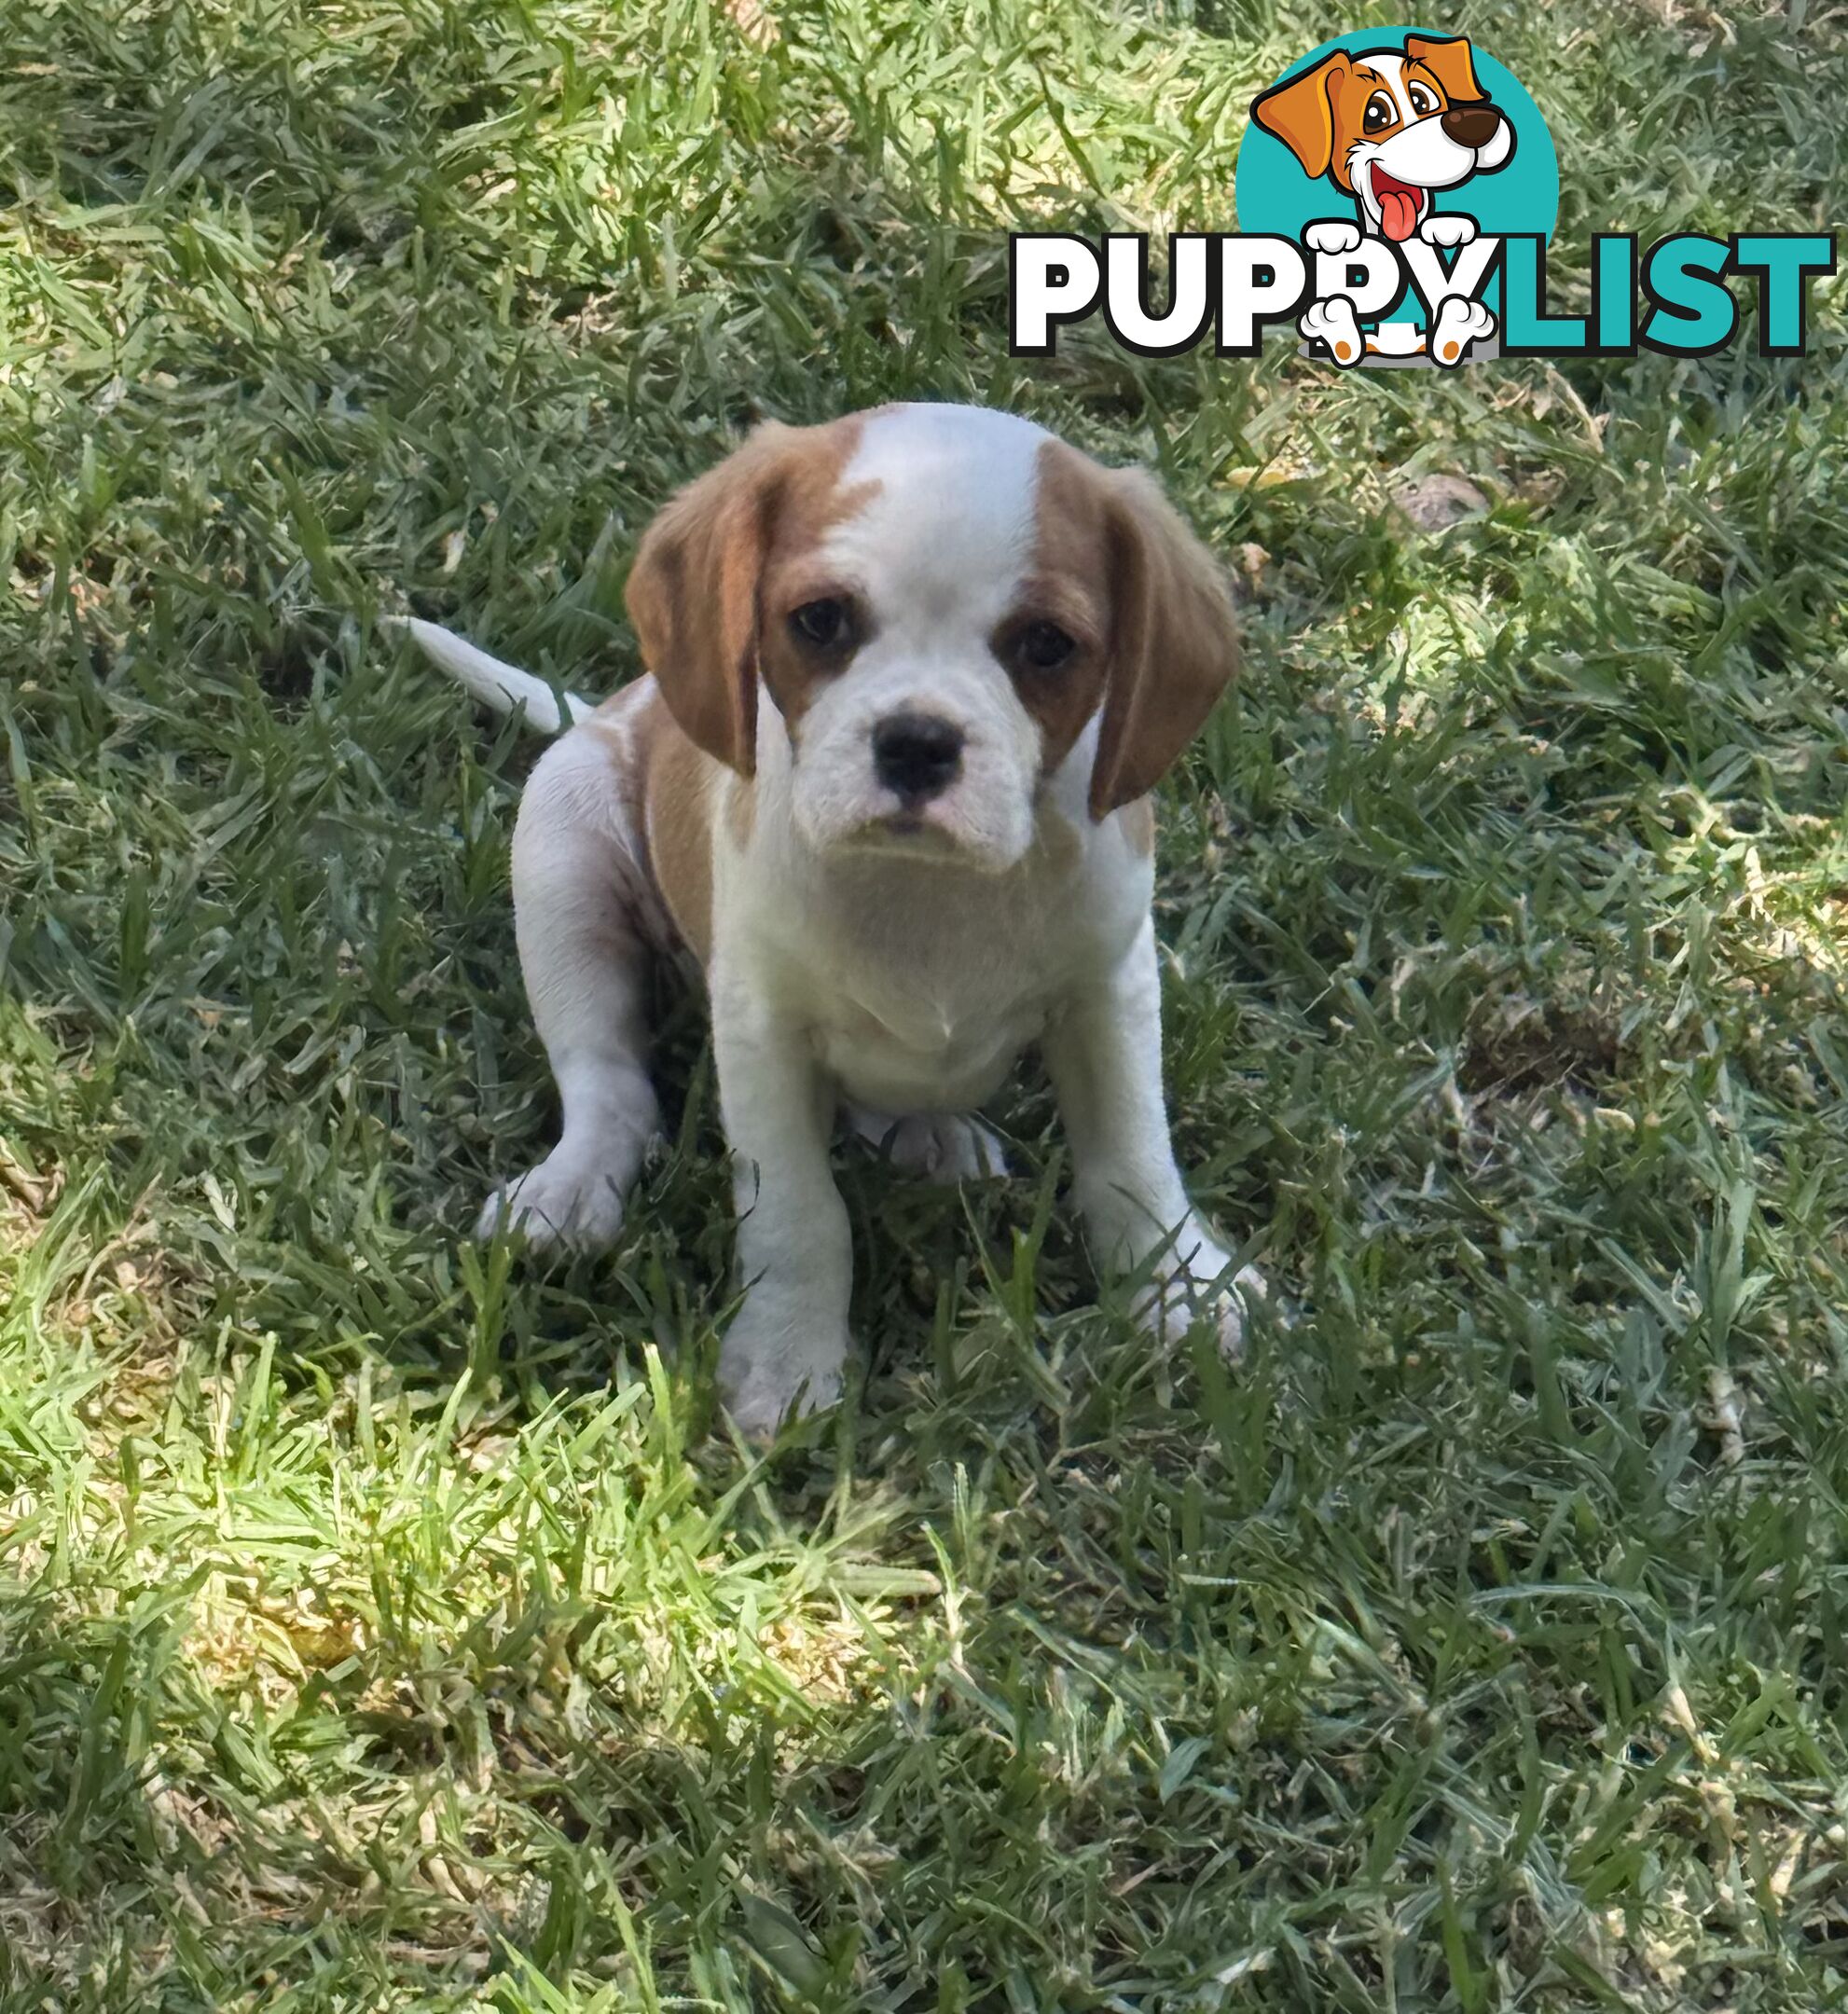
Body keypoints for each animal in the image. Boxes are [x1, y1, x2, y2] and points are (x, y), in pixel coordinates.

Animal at [408, 400, 1256, 1442]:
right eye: (821, 621)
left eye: (1046, 645)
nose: (918, 742)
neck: (925, 889)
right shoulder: (761, 1031)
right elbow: (798, 1212)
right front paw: (787, 1359)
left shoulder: (1110, 990)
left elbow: (1135, 1154)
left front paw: (1182, 1286)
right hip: (563, 853)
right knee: (609, 1083)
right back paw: (574, 1188)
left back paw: (928, 1137)